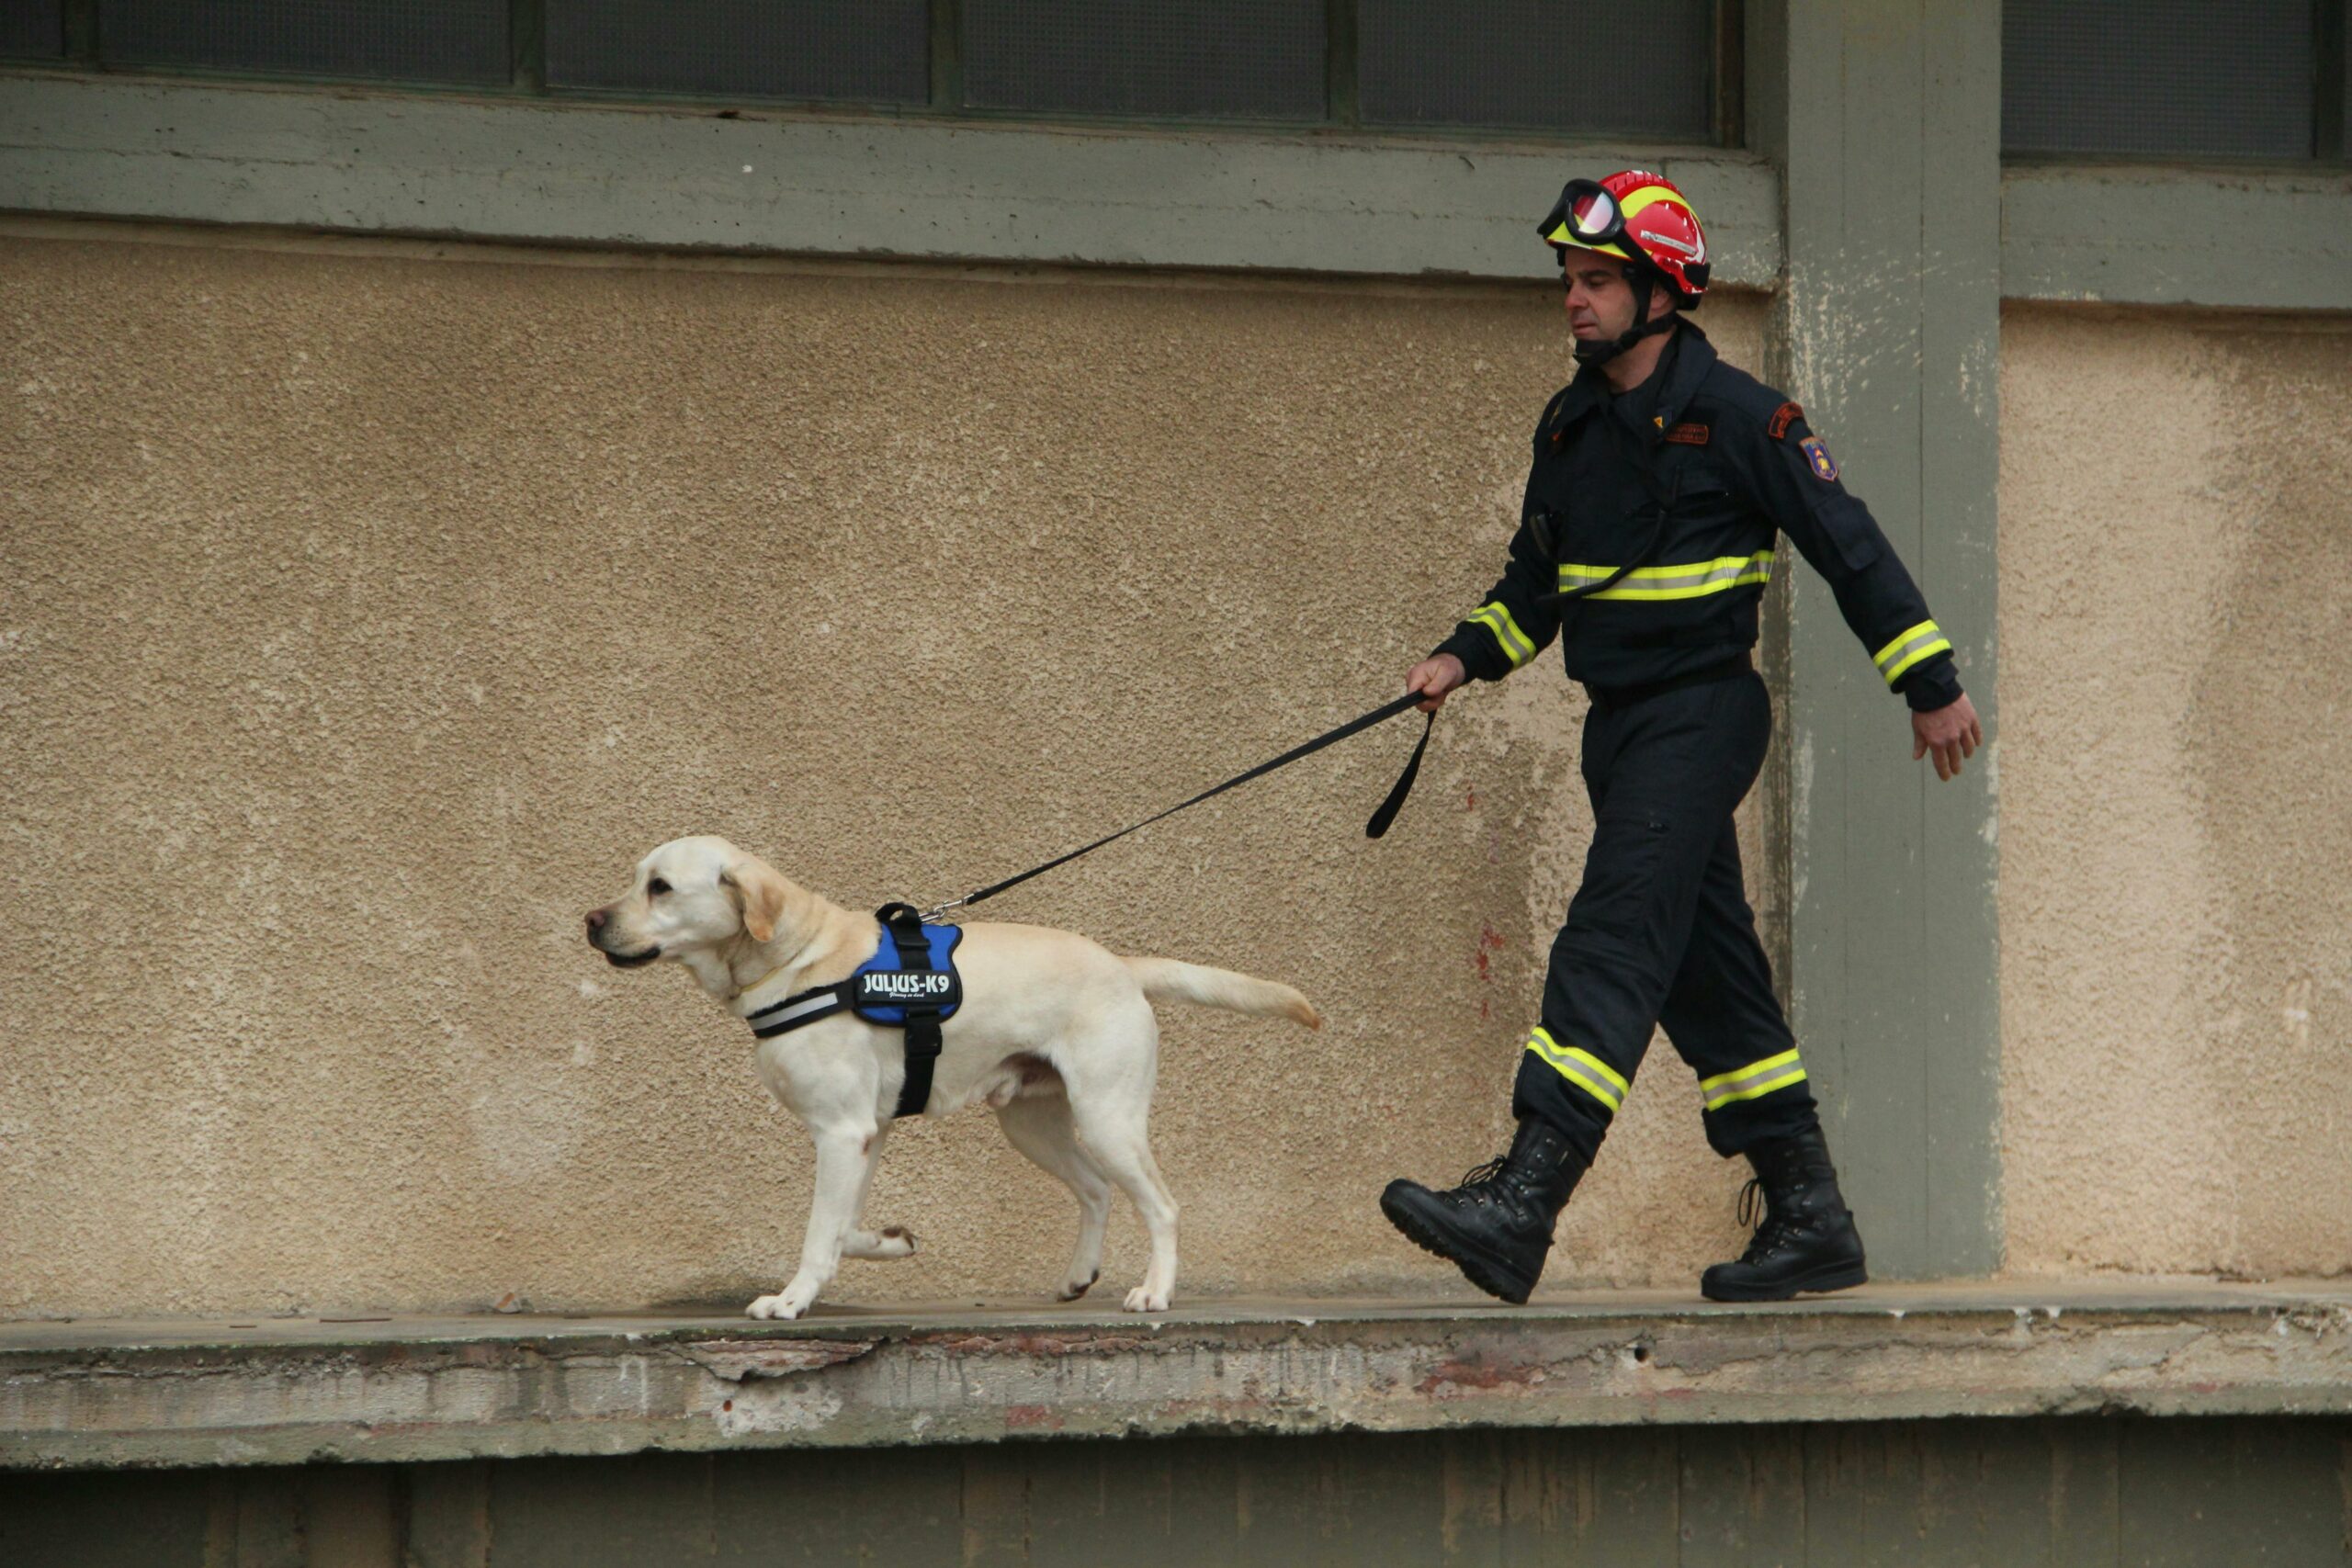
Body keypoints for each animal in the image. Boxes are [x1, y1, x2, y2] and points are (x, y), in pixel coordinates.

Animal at [582, 841, 1326, 1316]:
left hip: (1108, 1118)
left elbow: (819, 1231)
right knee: (1094, 1190)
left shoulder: (840, 1131)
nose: (590, 920)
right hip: (1033, 1124)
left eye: (660, 887)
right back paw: (1079, 1275)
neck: (798, 958)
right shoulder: (866, 1133)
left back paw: (1156, 1292)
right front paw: (889, 1241)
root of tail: (1123, 964)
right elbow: (843, 1225)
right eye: (636, 877)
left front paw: (792, 1299)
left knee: (1163, 1206)